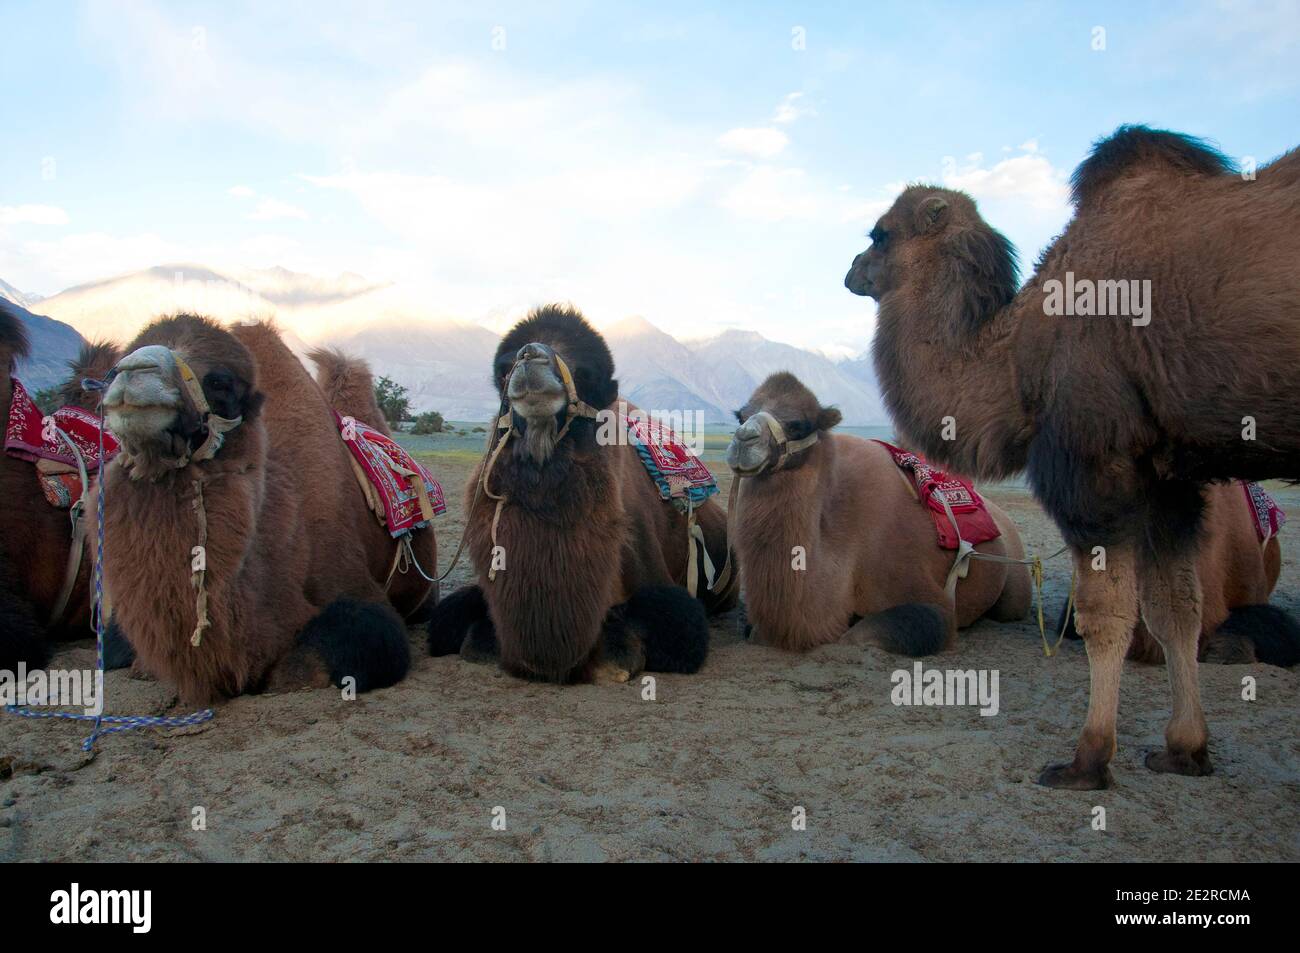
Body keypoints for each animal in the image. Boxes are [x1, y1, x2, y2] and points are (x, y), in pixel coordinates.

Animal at [423, 301, 733, 681]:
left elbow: (677, 629)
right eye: (503, 370)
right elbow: (449, 619)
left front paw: (616, 654)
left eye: (587, 375)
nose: (530, 356)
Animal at [728, 371, 1029, 655]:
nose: (744, 439)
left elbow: (858, 637)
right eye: (741, 416)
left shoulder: (927, 596)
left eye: (799, 425)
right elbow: (754, 633)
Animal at [842, 124, 1300, 790]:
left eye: (879, 232)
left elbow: (1104, 614)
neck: (1021, 350)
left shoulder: (1094, 463)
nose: (851, 270)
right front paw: (1184, 750)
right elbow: (1175, 609)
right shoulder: (1170, 481)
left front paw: (1087, 758)